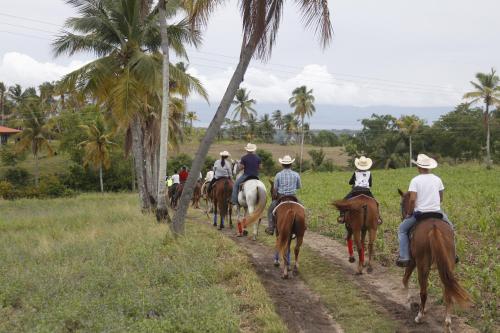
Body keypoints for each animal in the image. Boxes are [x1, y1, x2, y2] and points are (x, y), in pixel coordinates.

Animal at [396, 189, 470, 330]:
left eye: (401, 203)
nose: (404, 216)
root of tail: (434, 227)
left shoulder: (412, 262)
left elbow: (404, 279)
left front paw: (409, 302)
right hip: (448, 264)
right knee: (448, 291)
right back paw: (447, 323)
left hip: (422, 265)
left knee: (423, 292)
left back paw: (419, 317)